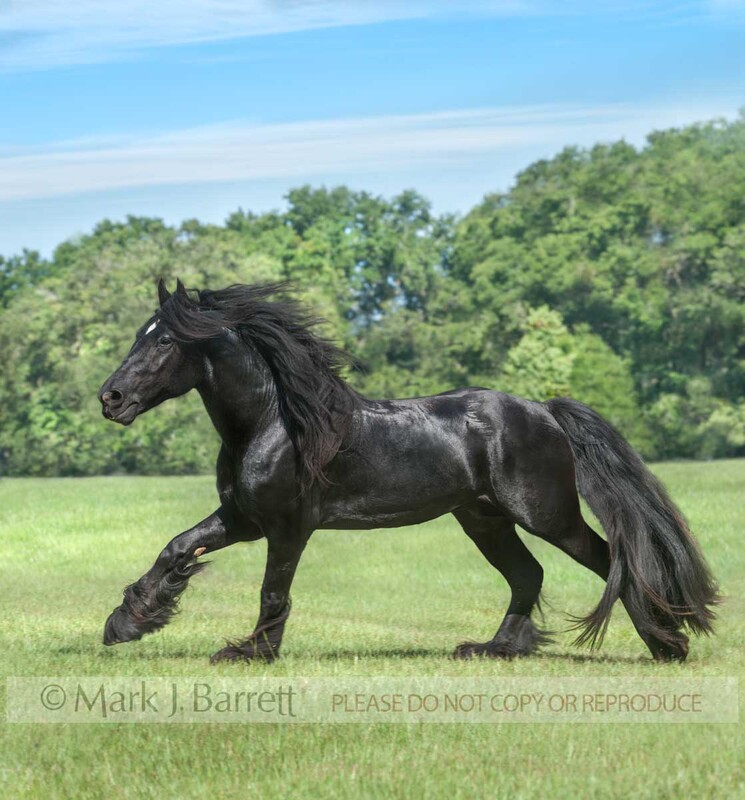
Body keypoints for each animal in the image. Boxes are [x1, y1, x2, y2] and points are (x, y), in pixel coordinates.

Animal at [98, 279, 718, 663]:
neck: (275, 422)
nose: (111, 398)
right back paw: (494, 649)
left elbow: (273, 589)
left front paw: (250, 653)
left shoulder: (288, 527)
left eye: (165, 340)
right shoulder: (242, 518)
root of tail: (545, 410)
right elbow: (177, 549)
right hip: (484, 519)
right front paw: (126, 623)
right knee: (528, 575)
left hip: (546, 514)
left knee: (612, 559)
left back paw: (668, 644)